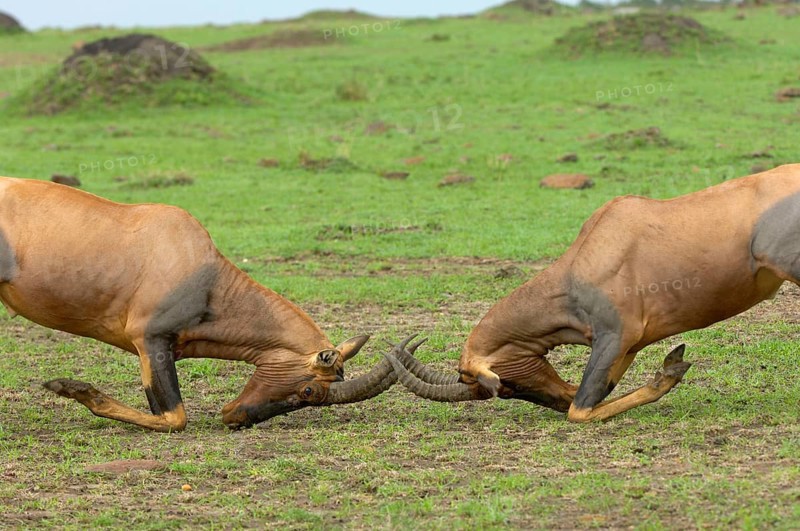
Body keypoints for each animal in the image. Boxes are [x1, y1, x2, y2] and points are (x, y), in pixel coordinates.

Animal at [0, 177, 424, 432]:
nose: (234, 417)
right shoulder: (150, 339)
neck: (203, 271)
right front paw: (71, 389)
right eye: (308, 392)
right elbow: (176, 417)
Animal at [385, 164, 800, 422]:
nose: (560, 396)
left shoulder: (616, 335)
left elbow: (581, 410)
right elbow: (601, 391)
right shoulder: (628, 345)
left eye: (505, 388)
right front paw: (670, 365)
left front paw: (668, 375)